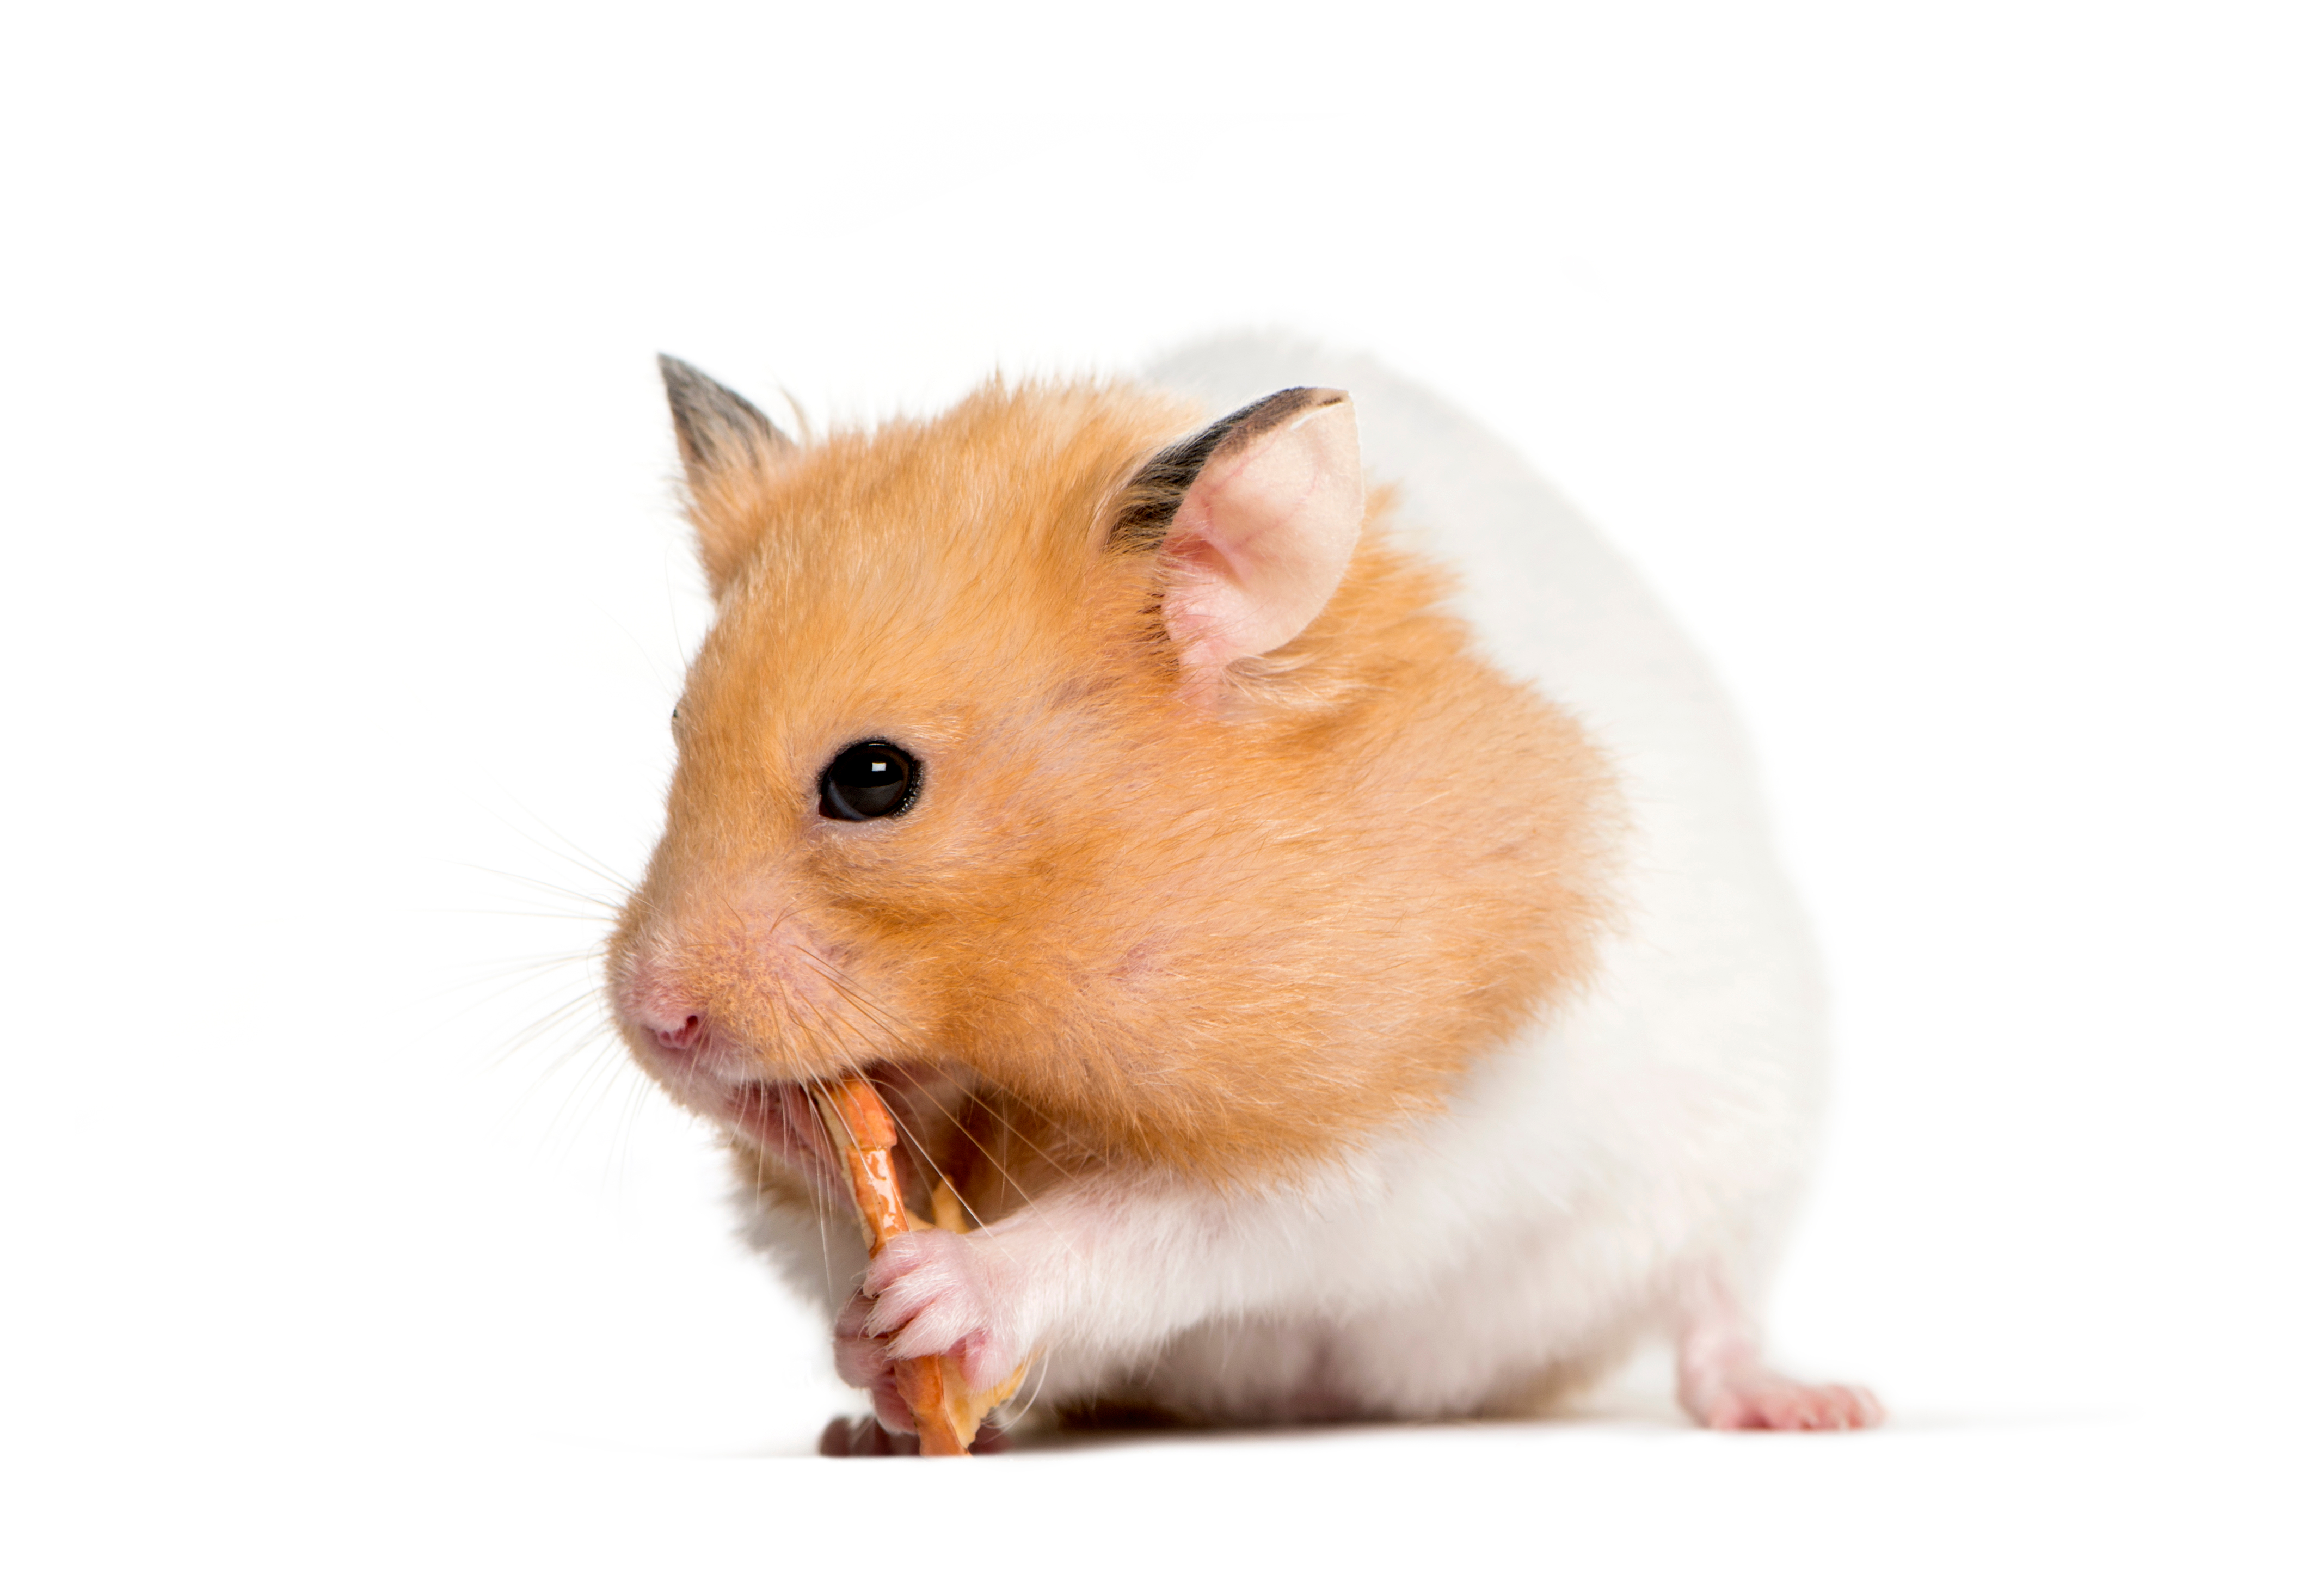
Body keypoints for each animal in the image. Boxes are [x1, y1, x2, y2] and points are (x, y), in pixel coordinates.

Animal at [606, 335, 1882, 1449]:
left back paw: (1809, 1407)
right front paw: (870, 1351)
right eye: (674, 731)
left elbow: (1144, 1226)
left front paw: (936, 1295)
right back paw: (863, 1434)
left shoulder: (1358, 1134)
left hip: (1733, 1152)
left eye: (874, 780)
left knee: (1711, 1303)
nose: (654, 1022)